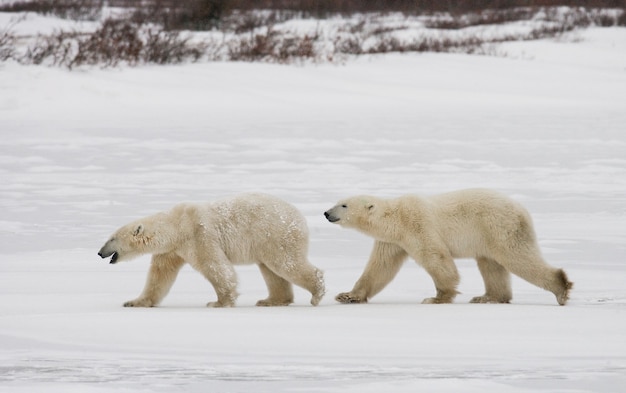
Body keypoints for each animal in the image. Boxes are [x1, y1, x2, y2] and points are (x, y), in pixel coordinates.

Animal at [98, 194, 324, 308]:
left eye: (111, 239)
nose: (100, 253)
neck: (176, 226)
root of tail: (300, 218)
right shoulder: (172, 250)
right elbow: (159, 276)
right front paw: (134, 302)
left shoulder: (199, 235)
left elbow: (215, 266)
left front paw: (219, 302)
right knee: (272, 271)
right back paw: (271, 300)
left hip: (275, 235)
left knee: (285, 264)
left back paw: (316, 293)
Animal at [324, 188, 572, 304]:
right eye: (337, 202)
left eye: (343, 205)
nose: (326, 213)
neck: (395, 218)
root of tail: (523, 209)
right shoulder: (391, 241)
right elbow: (379, 268)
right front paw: (348, 296)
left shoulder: (417, 225)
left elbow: (436, 258)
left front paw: (437, 297)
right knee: (491, 265)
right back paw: (486, 297)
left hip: (499, 226)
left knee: (518, 257)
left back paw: (561, 288)